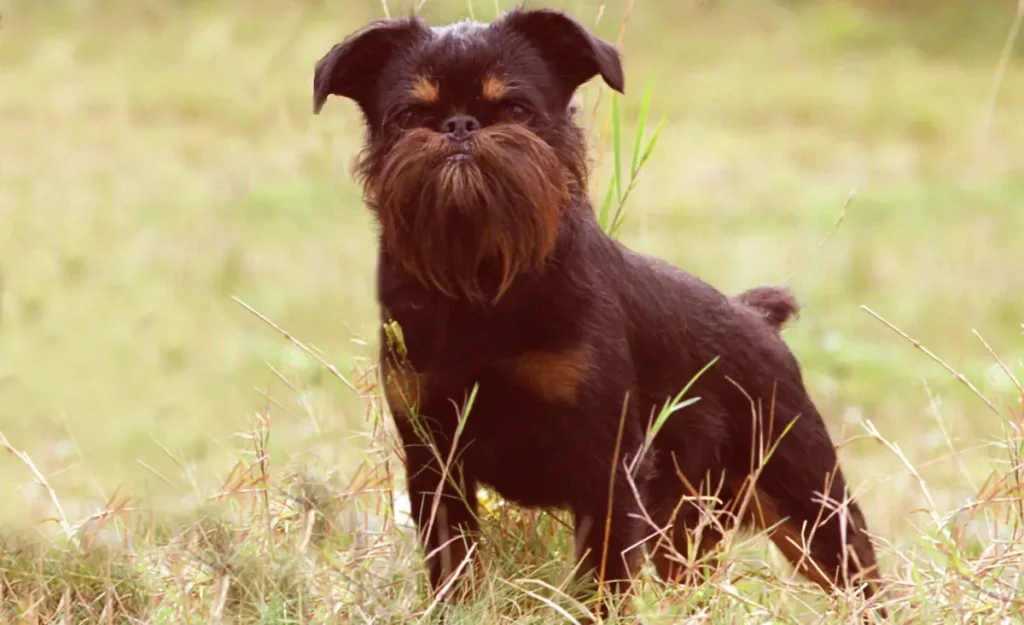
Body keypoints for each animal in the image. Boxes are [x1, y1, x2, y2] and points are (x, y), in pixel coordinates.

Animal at [315, 7, 884, 614]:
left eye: (516, 111)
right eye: (409, 117)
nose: (459, 126)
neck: (481, 281)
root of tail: (754, 316)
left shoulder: (606, 465)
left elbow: (602, 580)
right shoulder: (434, 462)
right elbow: (454, 568)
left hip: (813, 507)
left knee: (862, 585)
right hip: (686, 525)